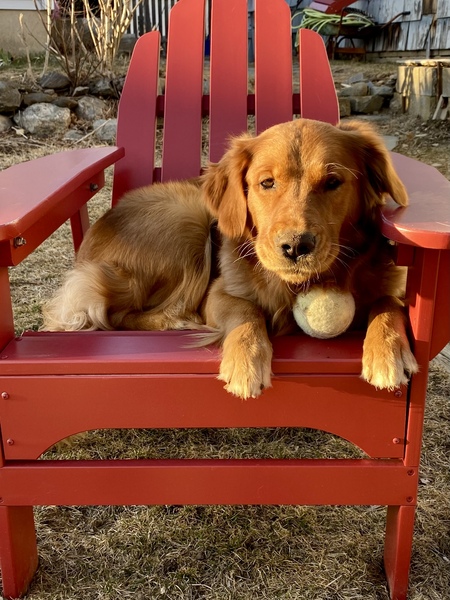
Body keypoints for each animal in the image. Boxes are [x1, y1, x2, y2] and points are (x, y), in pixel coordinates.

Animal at [42, 117, 418, 398]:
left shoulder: (389, 282)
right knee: (117, 312)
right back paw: (176, 321)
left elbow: (389, 303)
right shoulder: (218, 293)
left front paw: (387, 349)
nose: (295, 246)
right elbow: (245, 310)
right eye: (267, 183)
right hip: (189, 218)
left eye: (333, 182)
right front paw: (246, 361)